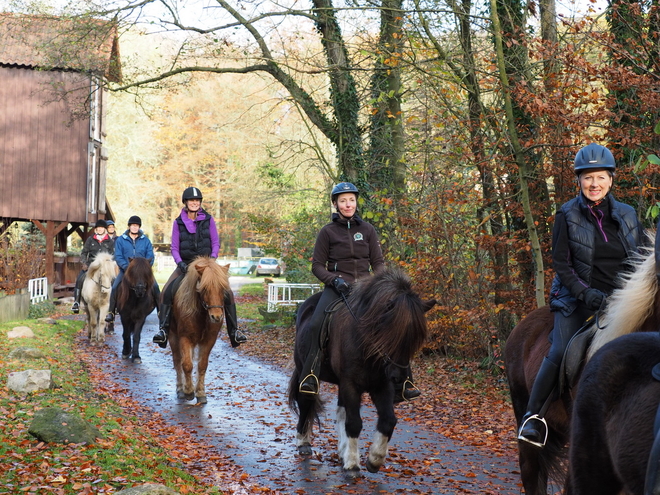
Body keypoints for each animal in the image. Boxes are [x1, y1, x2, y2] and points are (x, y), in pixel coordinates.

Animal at [166, 258, 231, 404]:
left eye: (222, 288)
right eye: (204, 288)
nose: (216, 317)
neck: (201, 313)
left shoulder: (209, 340)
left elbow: (202, 365)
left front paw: (200, 393)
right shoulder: (184, 338)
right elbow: (187, 365)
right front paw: (189, 391)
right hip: (173, 336)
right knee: (177, 361)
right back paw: (180, 389)